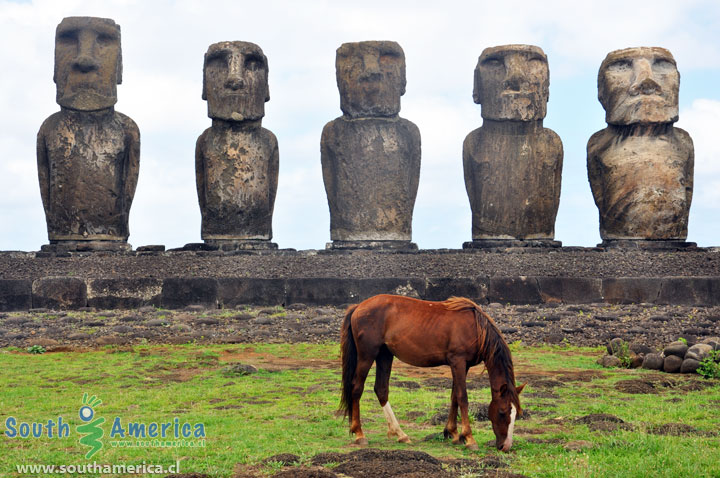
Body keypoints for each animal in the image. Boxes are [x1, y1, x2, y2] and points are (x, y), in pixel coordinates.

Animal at [338, 294, 524, 450]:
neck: (476, 328)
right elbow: (462, 397)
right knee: (357, 388)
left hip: (384, 355)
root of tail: (358, 306)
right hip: (367, 355)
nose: (505, 446)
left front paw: (453, 433)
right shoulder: (458, 361)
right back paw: (359, 434)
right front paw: (469, 438)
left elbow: (454, 396)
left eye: (517, 414)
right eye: (502, 412)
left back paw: (401, 434)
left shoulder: (462, 366)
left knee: (381, 390)